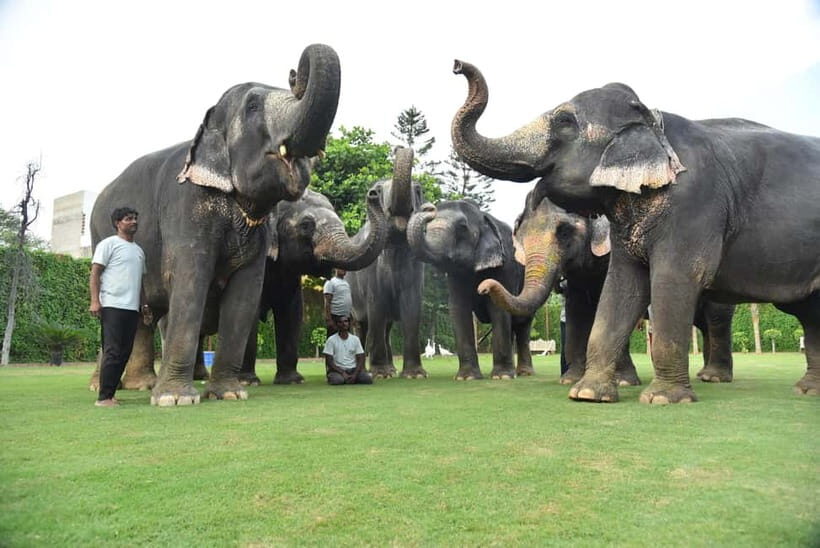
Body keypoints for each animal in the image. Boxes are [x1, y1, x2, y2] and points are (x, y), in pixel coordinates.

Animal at [90, 44, 341, 406]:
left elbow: (245, 295)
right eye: (253, 106)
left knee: (140, 320)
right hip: (99, 238)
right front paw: (174, 399)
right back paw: (106, 388)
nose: (295, 75)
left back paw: (141, 386)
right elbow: (190, 282)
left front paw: (230, 394)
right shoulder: (186, 209)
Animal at [347, 147, 427, 379]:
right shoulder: (371, 270)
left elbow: (412, 309)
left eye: (419, 190)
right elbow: (376, 307)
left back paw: (391, 368)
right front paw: (381, 374)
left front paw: (415, 375)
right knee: (361, 326)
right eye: (377, 191)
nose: (398, 147)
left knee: (387, 326)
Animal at [407, 199, 534, 380]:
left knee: (523, 324)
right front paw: (466, 377)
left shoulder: (506, 266)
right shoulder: (456, 276)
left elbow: (498, 308)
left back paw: (524, 373)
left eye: (462, 227)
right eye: (427, 227)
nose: (428, 207)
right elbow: (459, 309)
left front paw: (502, 377)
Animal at [478, 192, 736, 385]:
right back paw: (703, 375)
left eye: (564, 231)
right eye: (520, 233)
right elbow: (577, 311)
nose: (483, 287)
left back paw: (715, 377)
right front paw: (570, 380)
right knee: (704, 324)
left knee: (717, 318)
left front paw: (623, 381)